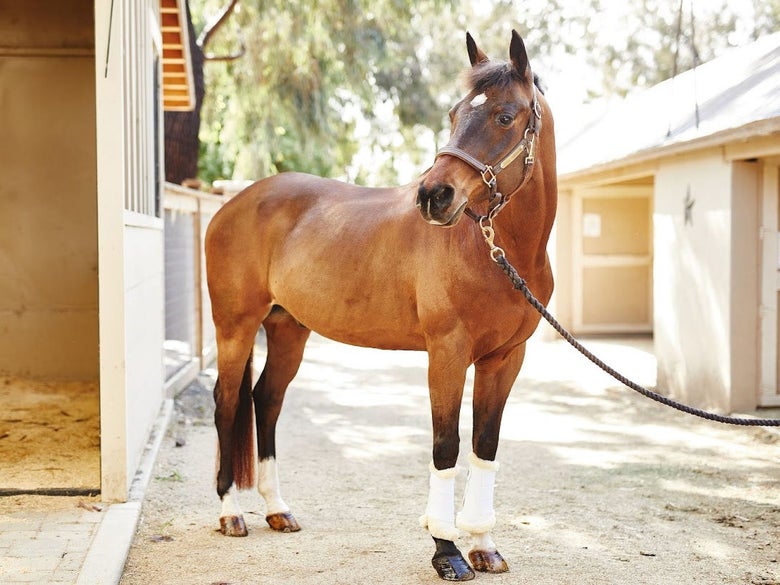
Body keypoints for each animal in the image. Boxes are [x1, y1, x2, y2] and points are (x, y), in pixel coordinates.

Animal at [204, 29, 557, 581]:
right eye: (455, 114)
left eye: (505, 116)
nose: (434, 195)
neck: (496, 250)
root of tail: (233, 205)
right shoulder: (447, 354)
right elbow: (445, 446)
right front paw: (447, 550)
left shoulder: (505, 358)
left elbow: (485, 446)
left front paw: (483, 544)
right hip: (235, 327)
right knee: (225, 403)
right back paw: (230, 513)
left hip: (288, 329)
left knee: (266, 399)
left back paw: (278, 510)